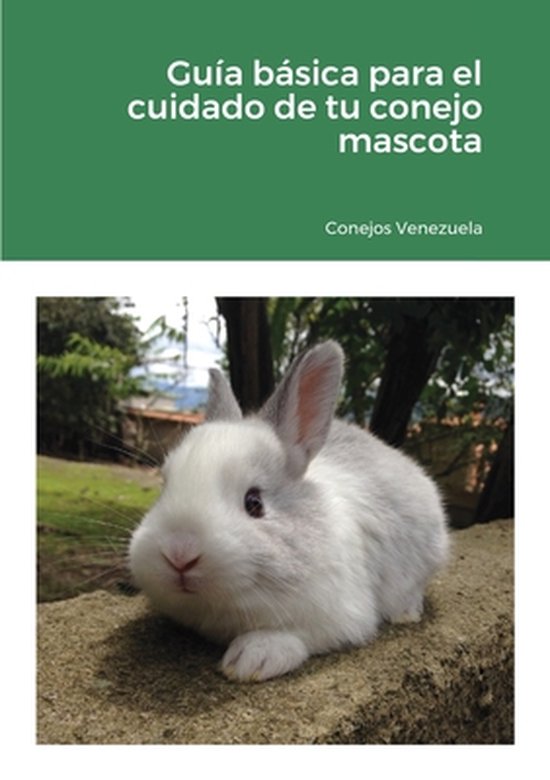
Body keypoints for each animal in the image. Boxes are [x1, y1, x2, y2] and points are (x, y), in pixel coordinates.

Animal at [128, 341, 449, 682]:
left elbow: (300, 635)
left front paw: (251, 659)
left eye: (254, 503)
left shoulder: (340, 616)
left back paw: (406, 613)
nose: (179, 554)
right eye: (164, 485)